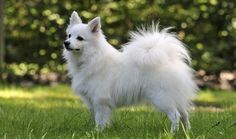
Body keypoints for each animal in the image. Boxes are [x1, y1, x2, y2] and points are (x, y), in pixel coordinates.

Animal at [62, 11, 197, 132]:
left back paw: (172, 132)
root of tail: (170, 59)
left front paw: (97, 132)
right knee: (184, 114)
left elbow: (100, 119)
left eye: (80, 38)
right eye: (69, 35)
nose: (66, 43)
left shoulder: (101, 100)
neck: (91, 57)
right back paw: (187, 131)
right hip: (176, 98)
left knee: (175, 115)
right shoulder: (92, 100)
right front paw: (94, 130)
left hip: (162, 98)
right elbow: (94, 117)